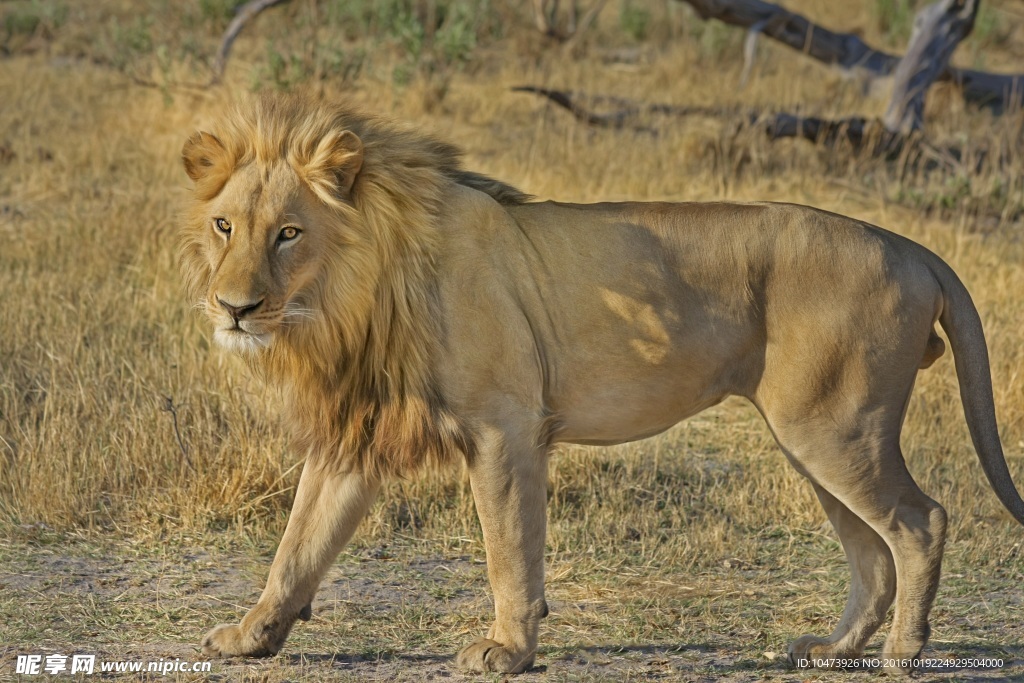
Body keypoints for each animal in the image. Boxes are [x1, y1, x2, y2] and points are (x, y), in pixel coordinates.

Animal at [184, 93, 1024, 675]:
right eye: (225, 226)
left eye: (289, 232)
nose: (234, 308)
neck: (350, 297)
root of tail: (910, 245)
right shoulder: (357, 434)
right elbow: (297, 546)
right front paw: (249, 636)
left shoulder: (505, 425)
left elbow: (508, 549)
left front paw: (506, 650)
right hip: (814, 435)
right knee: (872, 553)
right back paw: (832, 649)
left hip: (834, 428)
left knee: (920, 522)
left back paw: (903, 653)